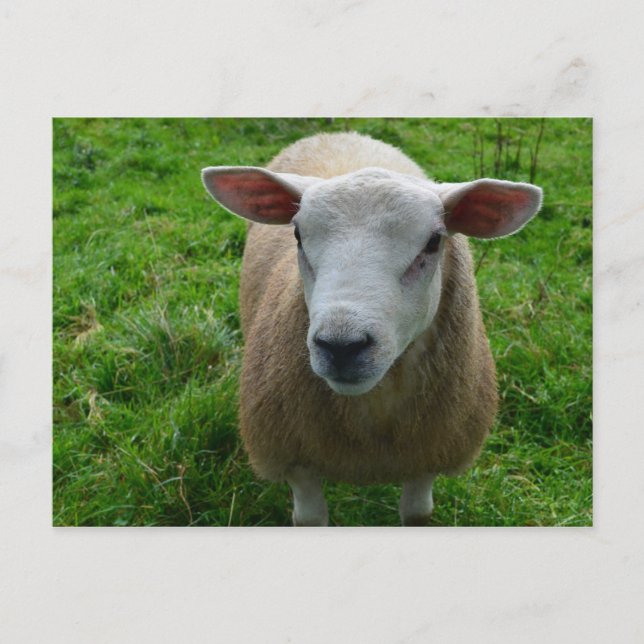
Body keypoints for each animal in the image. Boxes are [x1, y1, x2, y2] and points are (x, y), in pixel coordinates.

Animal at [201, 131, 542, 526]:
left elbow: (417, 513)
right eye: (298, 235)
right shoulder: (294, 460)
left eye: (433, 242)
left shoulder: (430, 454)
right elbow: (311, 518)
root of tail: (339, 135)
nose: (341, 346)